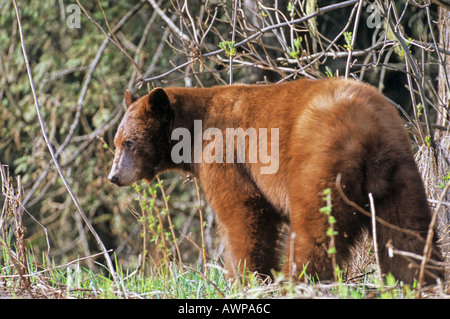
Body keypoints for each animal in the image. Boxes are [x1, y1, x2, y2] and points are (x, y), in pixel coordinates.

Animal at [107, 77, 442, 284]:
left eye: (129, 143)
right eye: (117, 142)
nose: (114, 176)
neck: (193, 128)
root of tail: (367, 133)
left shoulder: (223, 153)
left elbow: (243, 211)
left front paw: (247, 276)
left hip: (318, 164)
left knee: (315, 233)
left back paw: (295, 281)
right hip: (401, 172)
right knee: (407, 232)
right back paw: (420, 280)